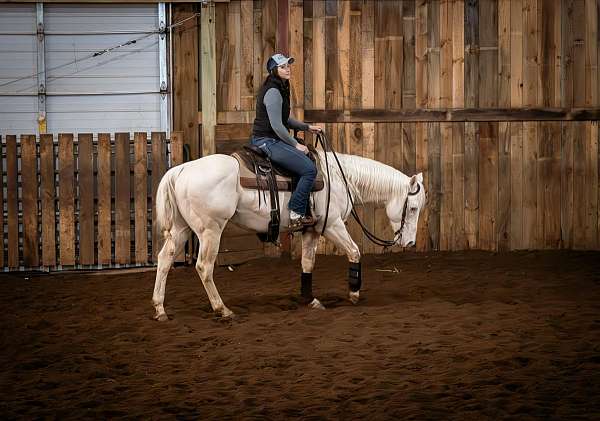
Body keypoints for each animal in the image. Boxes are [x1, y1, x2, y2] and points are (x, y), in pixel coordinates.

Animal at [154, 151, 426, 318]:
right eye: (413, 208)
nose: (411, 242)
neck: (340, 179)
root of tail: (181, 170)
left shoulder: (312, 230)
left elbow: (307, 263)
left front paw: (310, 300)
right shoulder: (332, 225)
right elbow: (354, 251)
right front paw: (354, 293)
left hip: (182, 228)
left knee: (164, 259)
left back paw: (160, 309)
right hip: (210, 230)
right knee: (204, 267)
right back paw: (223, 309)